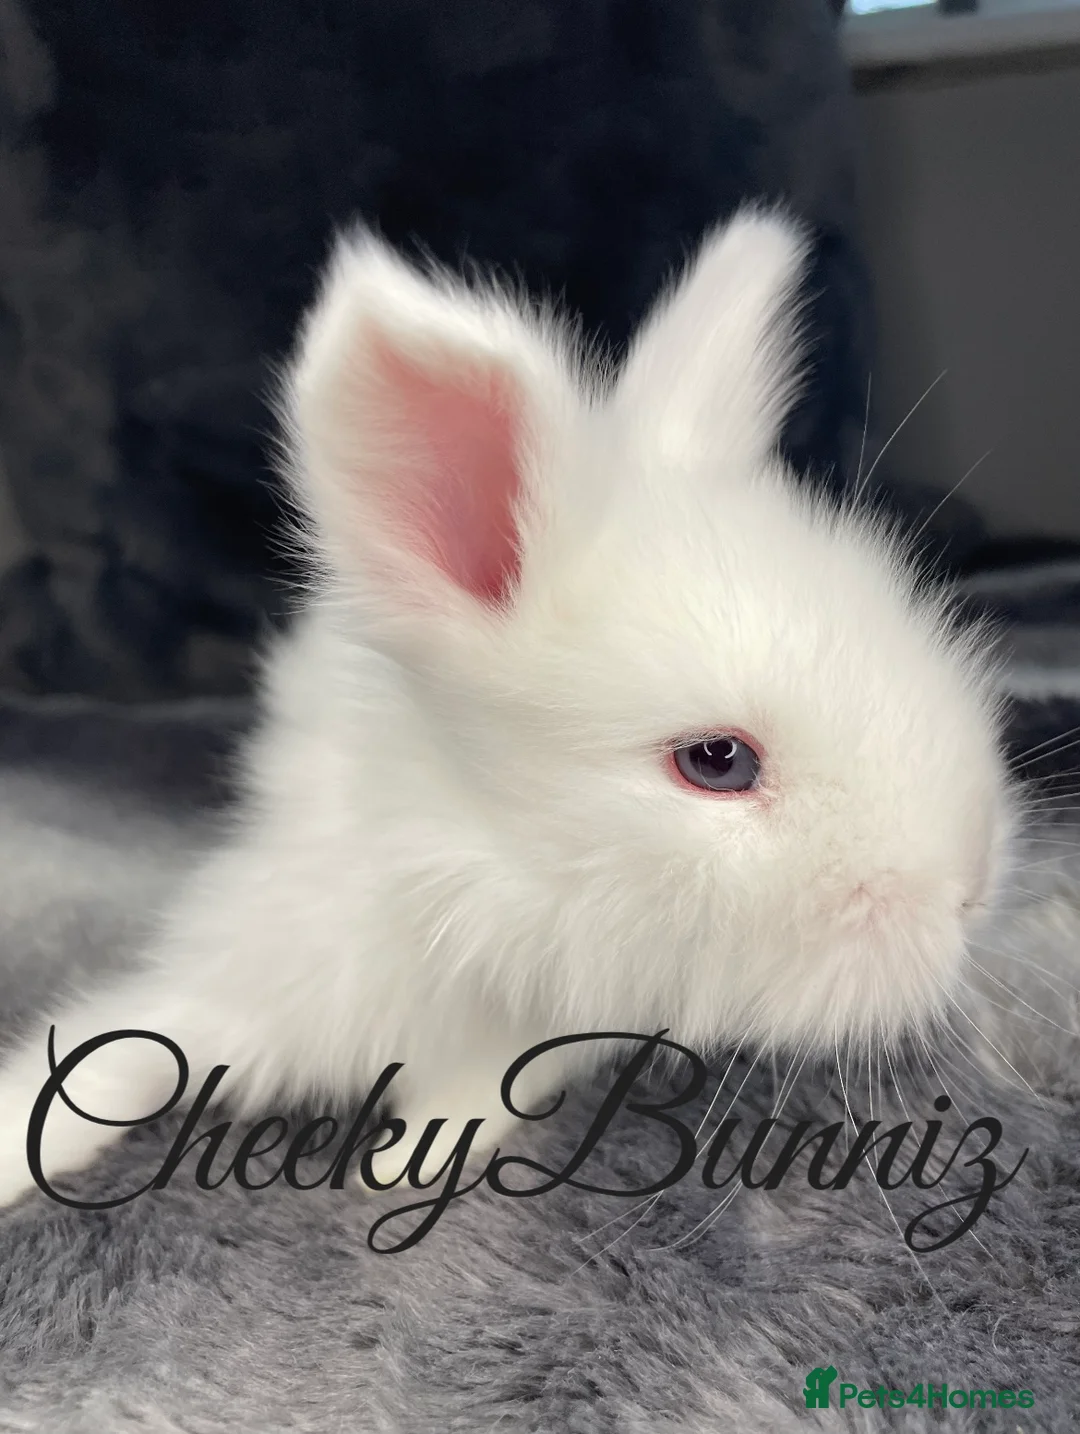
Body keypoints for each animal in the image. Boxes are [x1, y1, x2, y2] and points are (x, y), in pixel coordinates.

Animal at [0, 207, 1014, 1210]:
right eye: (717, 761)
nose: (968, 892)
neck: (491, 885)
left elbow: (488, 1089)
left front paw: (405, 1162)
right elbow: (112, 1058)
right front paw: (14, 1145)